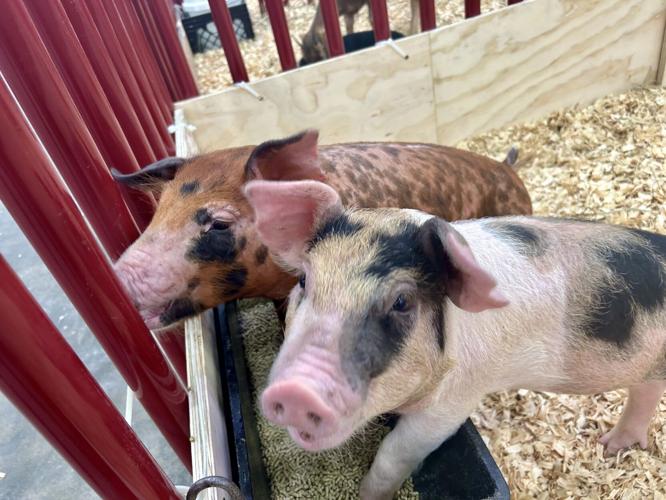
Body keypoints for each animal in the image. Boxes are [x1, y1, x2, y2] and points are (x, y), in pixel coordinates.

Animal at [244, 178, 666, 500]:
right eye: (304, 280)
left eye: (402, 301)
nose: (295, 392)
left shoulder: (452, 402)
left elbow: (393, 453)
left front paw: (366, 494)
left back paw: (609, 448)